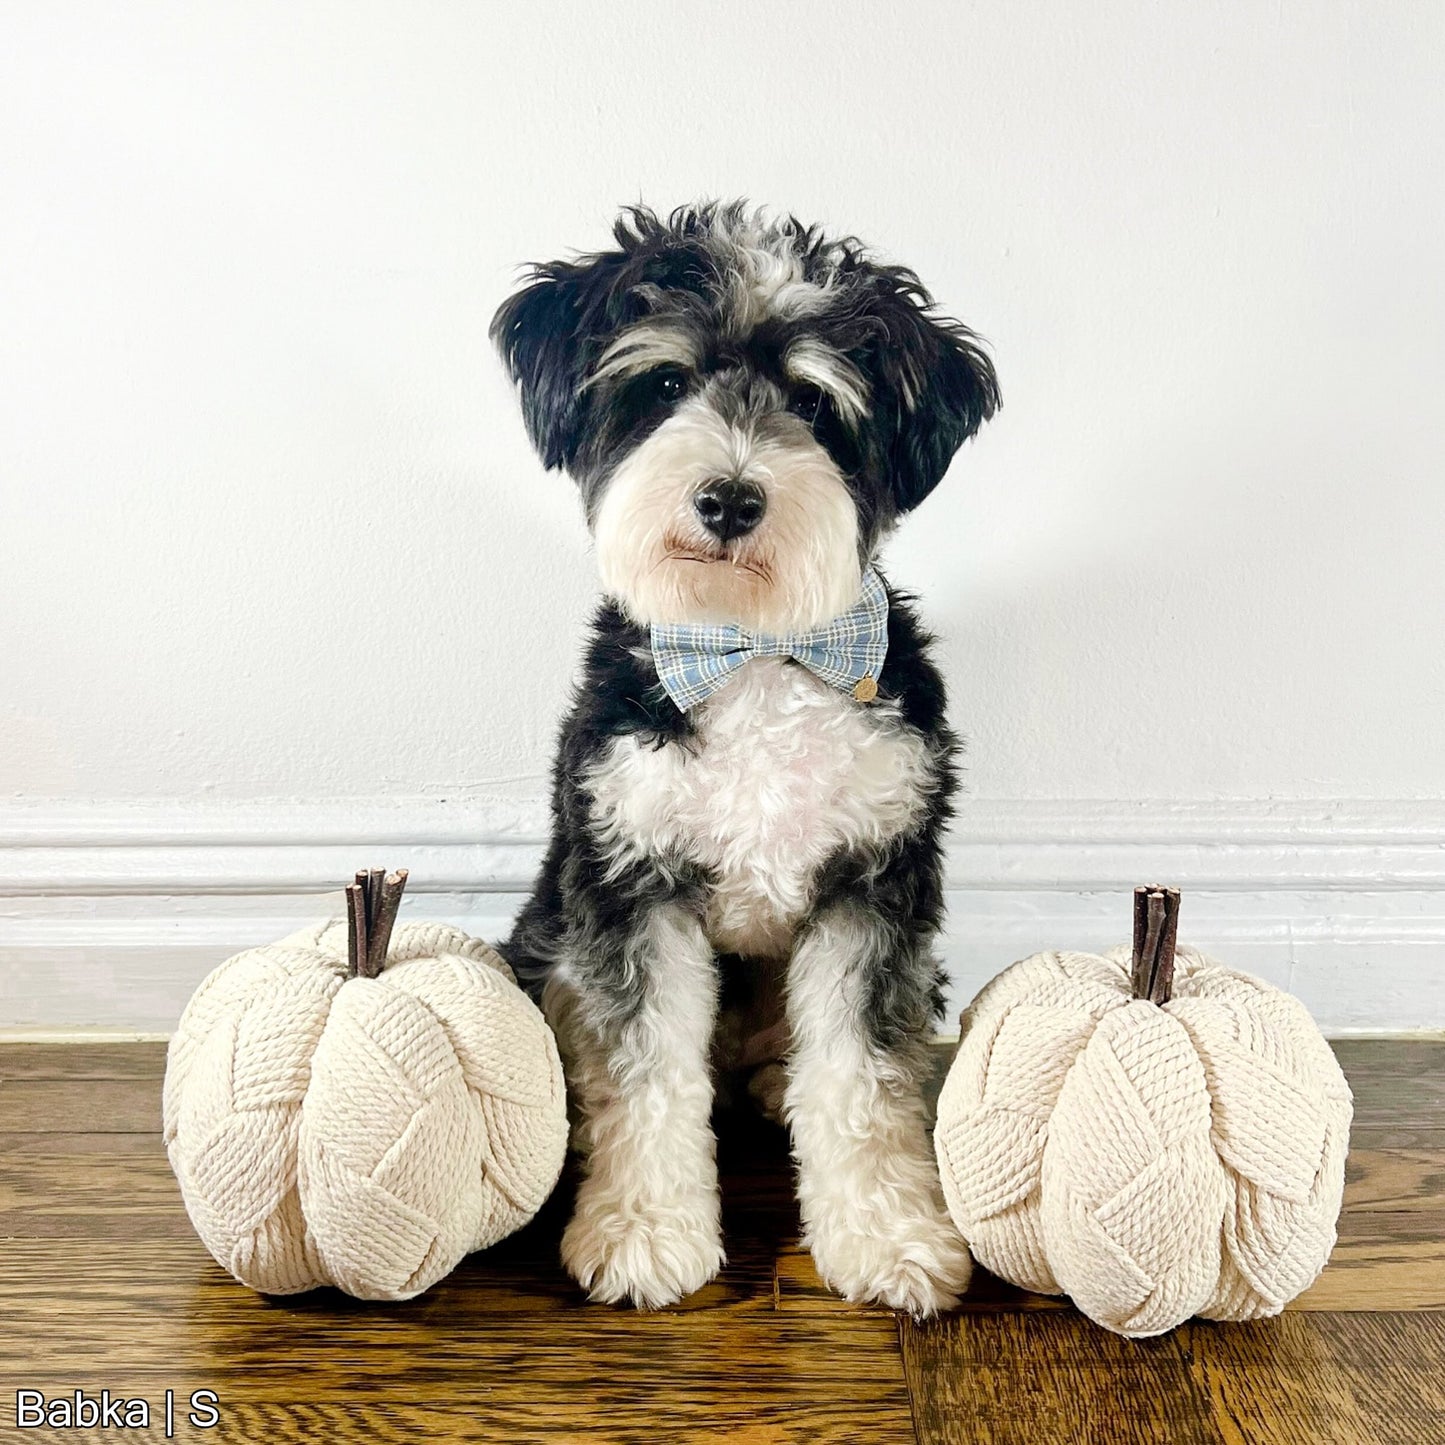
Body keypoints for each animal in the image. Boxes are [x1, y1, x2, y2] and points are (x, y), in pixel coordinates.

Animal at [491, 203, 999, 1323]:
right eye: (663, 385)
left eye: (813, 401)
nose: (728, 497)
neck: (754, 650)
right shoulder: (632, 884)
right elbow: (646, 1075)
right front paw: (642, 1231)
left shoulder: (873, 884)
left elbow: (858, 1078)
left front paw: (889, 1236)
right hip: (550, 933)